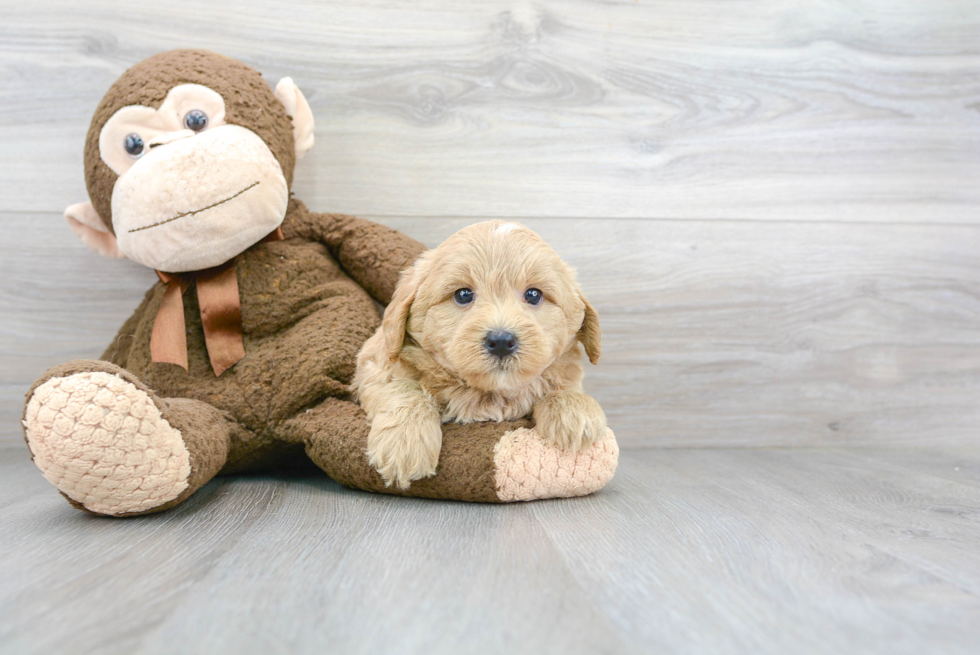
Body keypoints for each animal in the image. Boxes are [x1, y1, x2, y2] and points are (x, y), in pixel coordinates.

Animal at [352, 219, 604, 486]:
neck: (489, 394)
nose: (501, 341)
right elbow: (404, 387)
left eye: (534, 295)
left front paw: (573, 414)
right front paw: (404, 441)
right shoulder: (373, 368)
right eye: (463, 295)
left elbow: (562, 387)